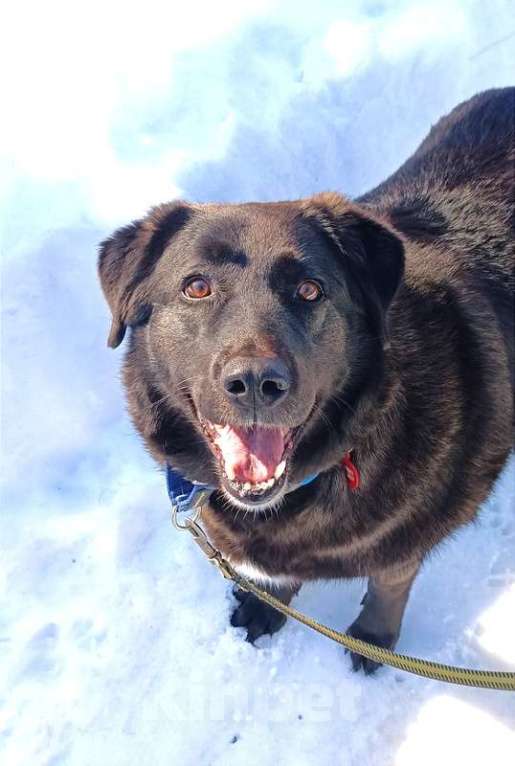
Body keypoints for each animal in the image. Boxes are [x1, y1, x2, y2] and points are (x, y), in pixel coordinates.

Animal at [99, 88, 512, 672]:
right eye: (196, 286)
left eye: (310, 290)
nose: (254, 383)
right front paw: (266, 606)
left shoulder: (406, 544)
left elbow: (390, 584)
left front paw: (371, 640)